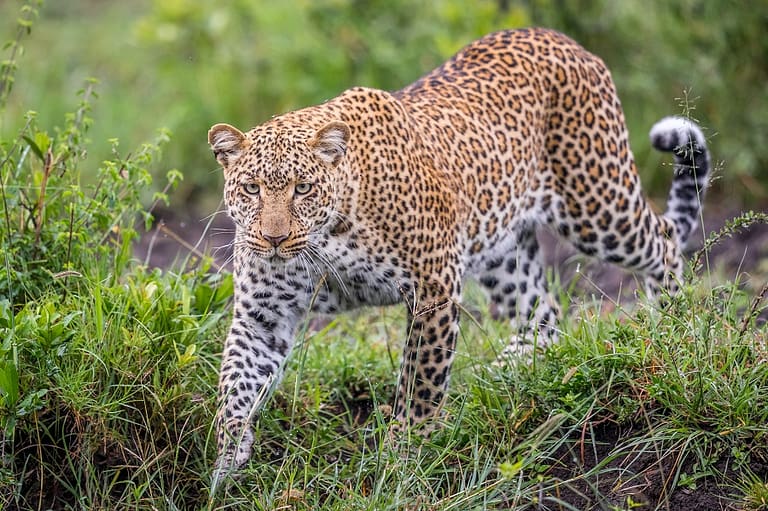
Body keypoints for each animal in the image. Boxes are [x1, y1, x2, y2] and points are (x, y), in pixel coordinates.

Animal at [207, 27, 712, 480]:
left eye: (303, 188)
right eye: (251, 188)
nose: (273, 238)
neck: (326, 237)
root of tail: (563, 39)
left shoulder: (433, 287)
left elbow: (420, 383)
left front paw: (404, 454)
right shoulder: (264, 313)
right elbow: (235, 382)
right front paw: (227, 459)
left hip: (597, 205)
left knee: (665, 242)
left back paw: (671, 328)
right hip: (501, 248)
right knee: (543, 313)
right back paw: (500, 376)